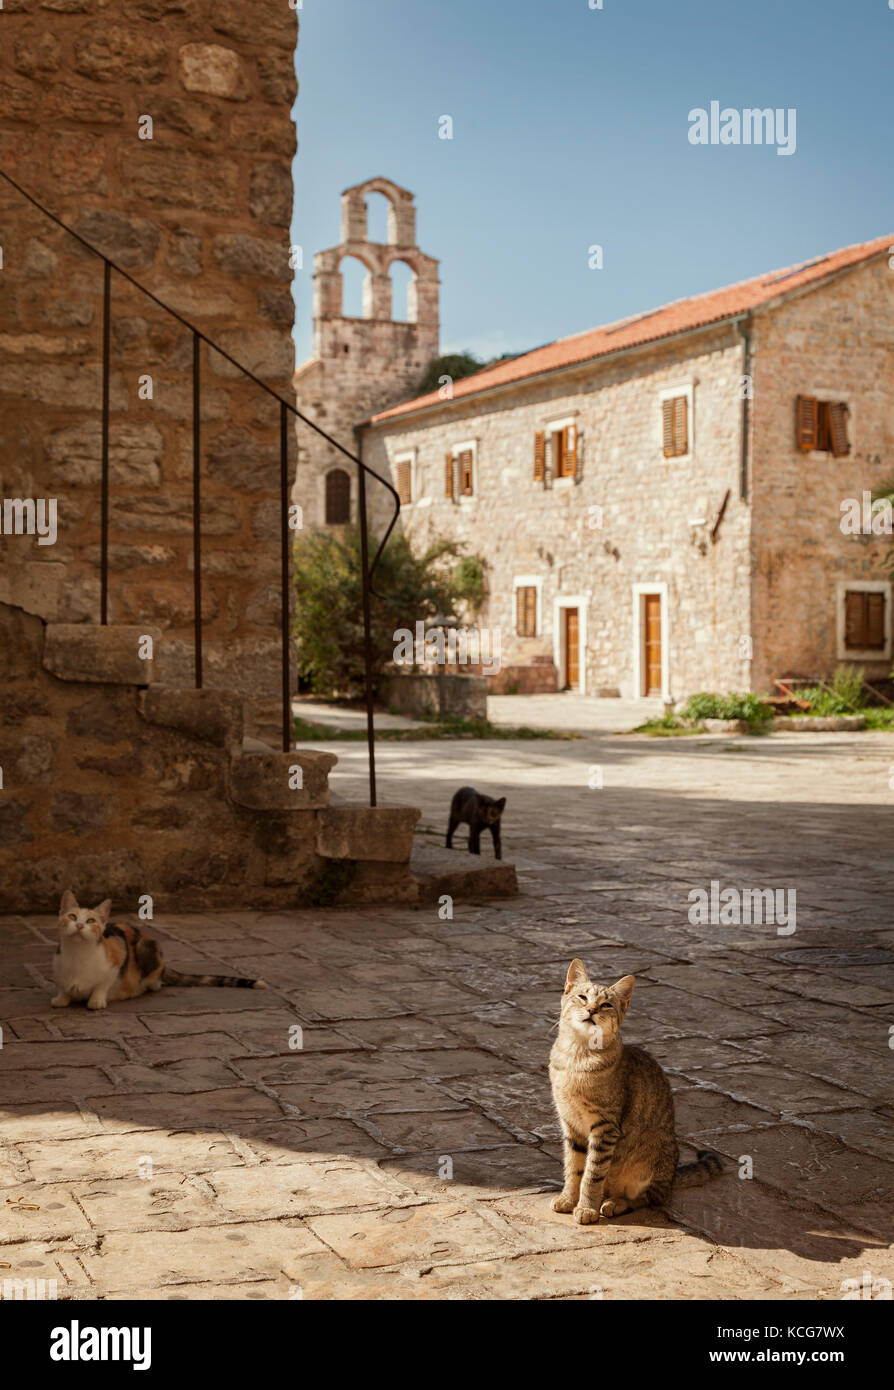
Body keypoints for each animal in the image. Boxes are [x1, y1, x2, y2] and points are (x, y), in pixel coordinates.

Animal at [51, 889, 265, 1011]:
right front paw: (61, 998)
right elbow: (64, 987)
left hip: (146, 948)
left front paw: (96, 1000)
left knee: (156, 982)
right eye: (72, 917)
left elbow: (102, 984)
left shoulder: (118, 955)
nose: (79, 925)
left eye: (91, 921)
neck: (77, 955)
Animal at [547, 961, 722, 1223]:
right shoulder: (571, 1126)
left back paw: (615, 1203)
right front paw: (568, 1198)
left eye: (606, 1004)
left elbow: (592, 1174)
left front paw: (586, 1208)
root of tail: (672, 1178)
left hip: (652, 1158)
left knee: (651, 1199)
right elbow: (574, 1168)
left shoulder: (605, 1127)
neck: (576, 1057)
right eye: (582, 997)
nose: (591, 1009)